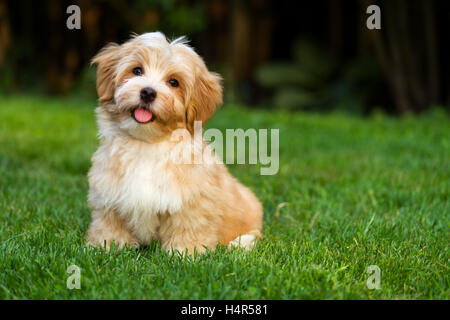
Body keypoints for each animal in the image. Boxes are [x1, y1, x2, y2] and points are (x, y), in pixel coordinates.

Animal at [85, 33, 262, 255]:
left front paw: (185, 252)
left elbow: (188, 225)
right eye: (137, 70)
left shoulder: (191, 201)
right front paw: (106, 246)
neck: (147, 143)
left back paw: (240, 243)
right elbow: (110, 223)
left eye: (173, 82)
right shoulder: (109, 194)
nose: (148, 92)